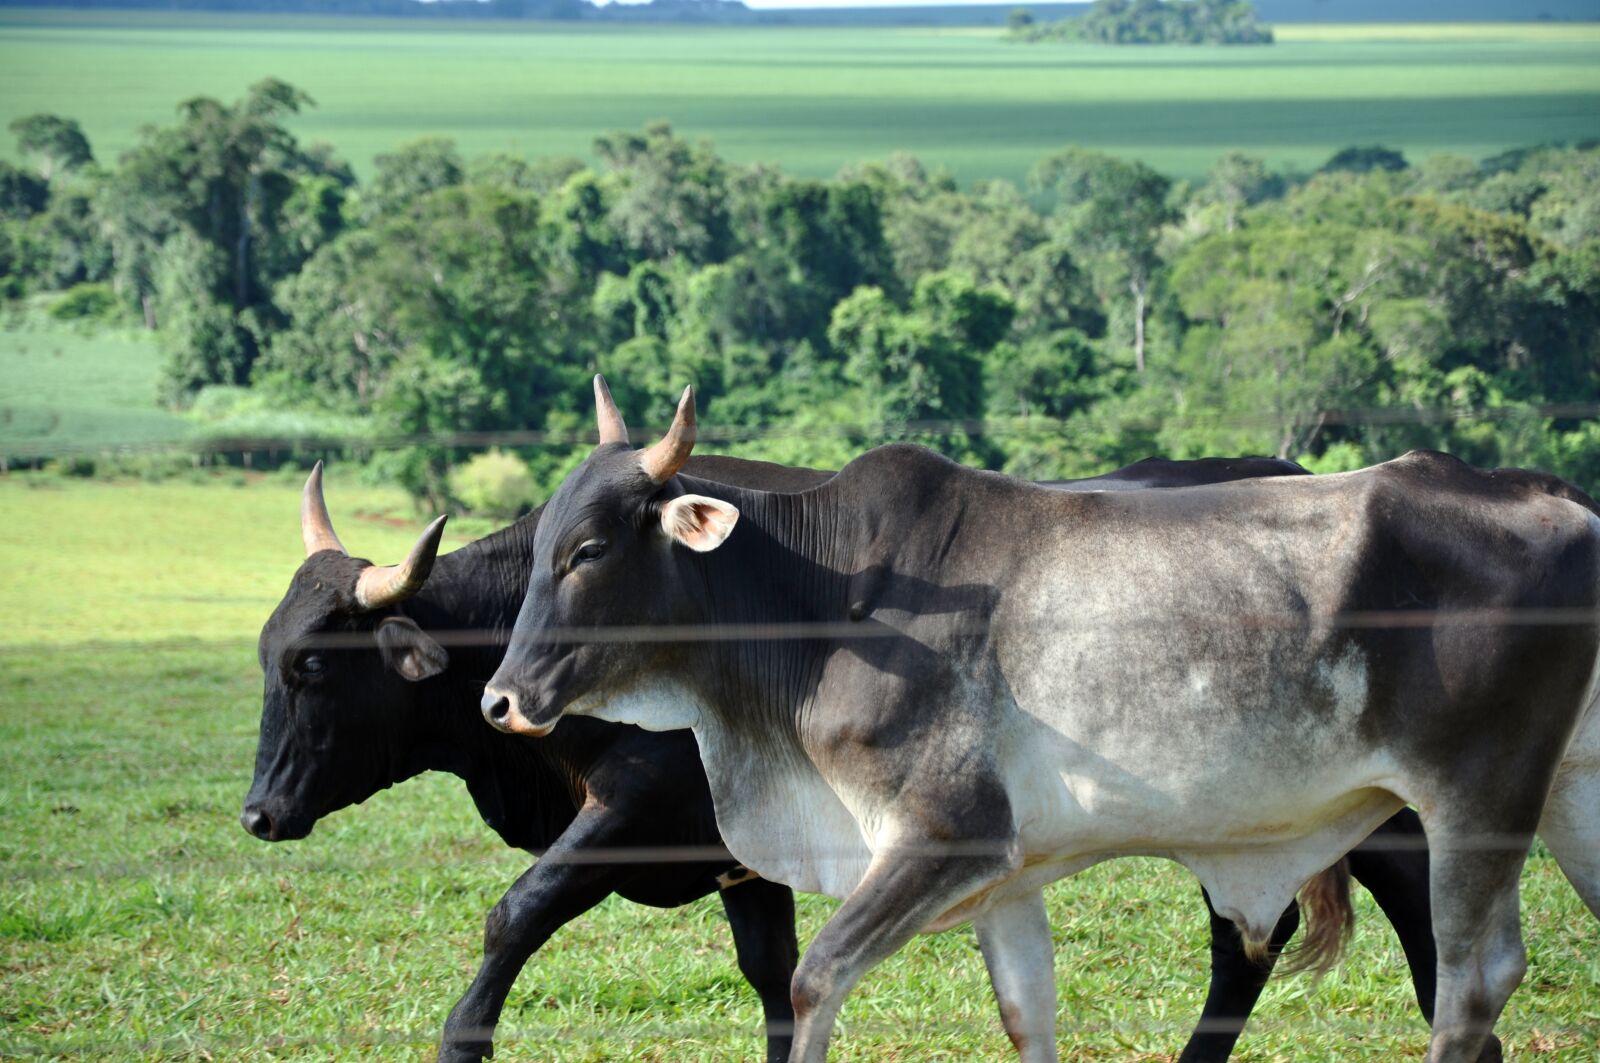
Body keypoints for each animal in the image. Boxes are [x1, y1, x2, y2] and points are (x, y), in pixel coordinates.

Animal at [246, 451, 1438, 1062]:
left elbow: (516, 912)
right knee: (1257, 940)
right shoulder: (747, 857)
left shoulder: (633, 813)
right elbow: (774, 980)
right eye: (265, 653)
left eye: (311, 668)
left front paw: (462, 1039)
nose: (257, 814)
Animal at [482, 379, 1600, 1063]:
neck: (821, 601)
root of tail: (1555, 498)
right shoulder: (1007, 875)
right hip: (1570, 794)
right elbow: (1027, 1015)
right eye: (538, 546)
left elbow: (812, 979)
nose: (499, 699)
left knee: (1473, 978)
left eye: (587, 550)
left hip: (1477, 800)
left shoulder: (944, 834)